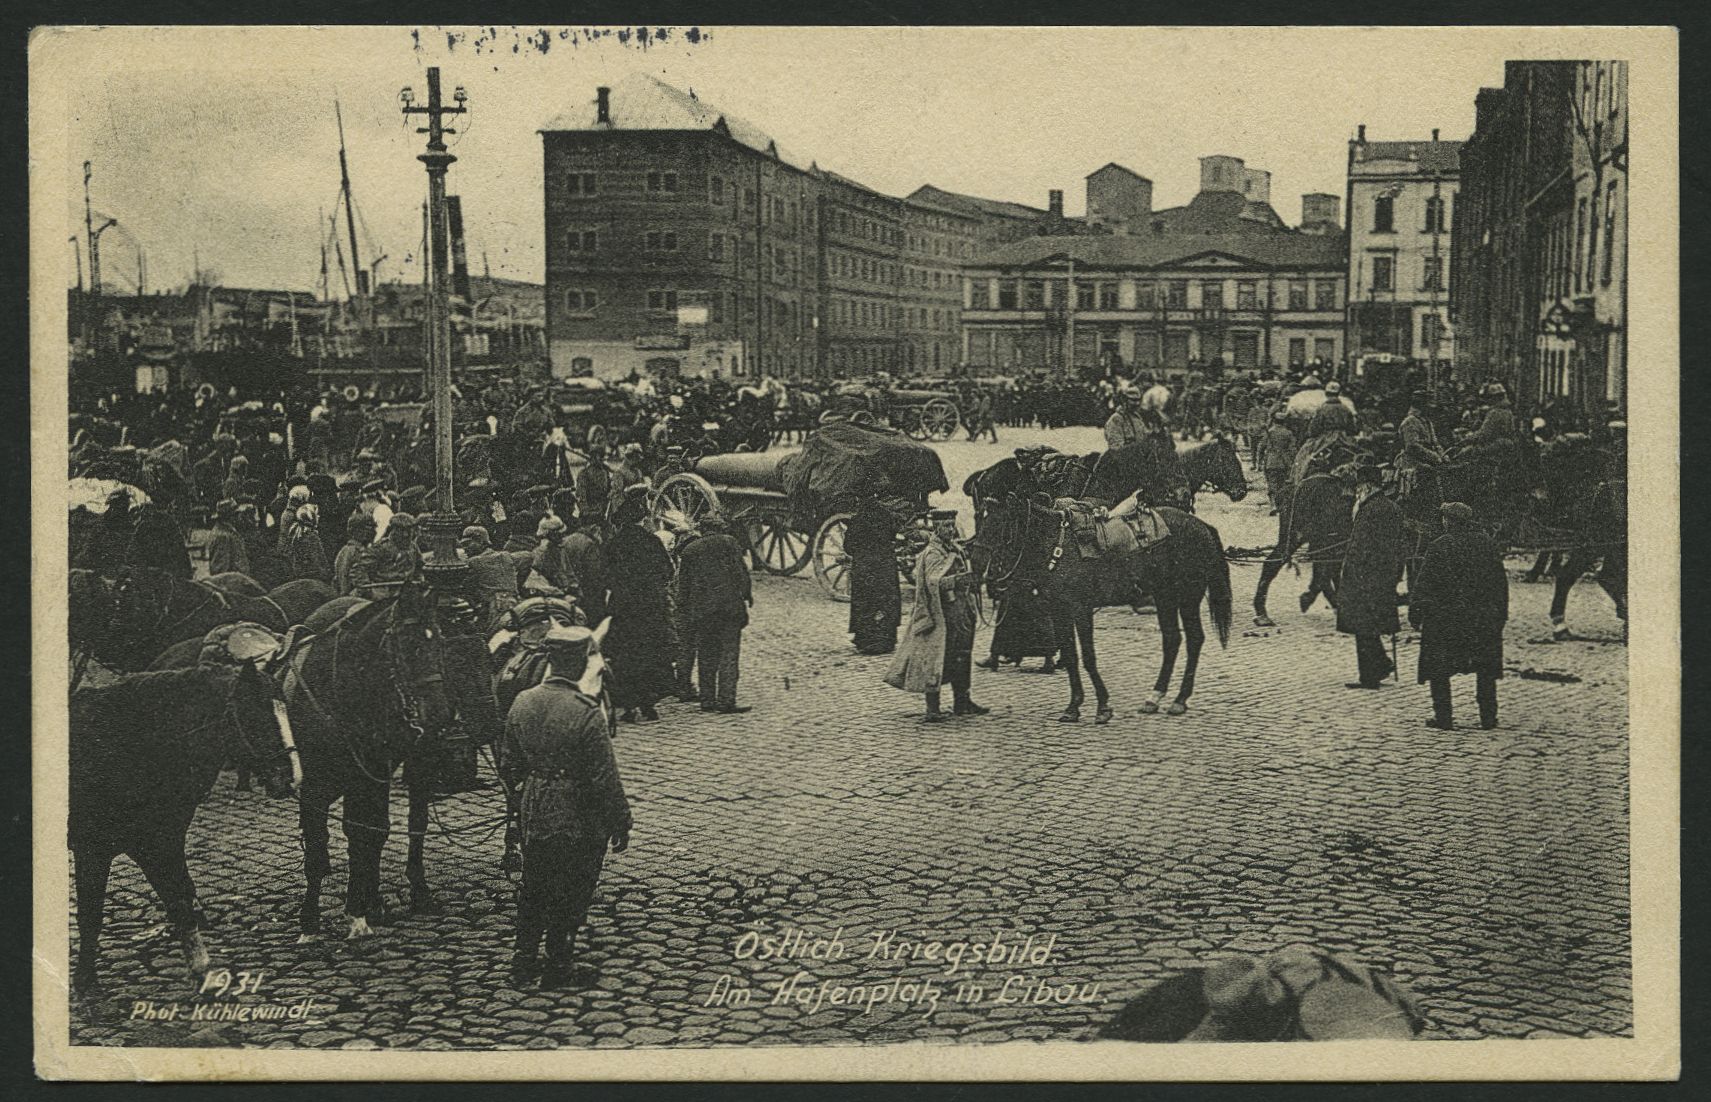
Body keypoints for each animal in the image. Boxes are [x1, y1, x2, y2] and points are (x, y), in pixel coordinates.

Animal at [71, 658, 300, 999]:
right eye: (255, 715)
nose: (291, 778)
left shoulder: (161, 843)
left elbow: (180, 900)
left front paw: (202, 970)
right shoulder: (92, 850)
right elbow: (90, 915)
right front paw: (85, 980)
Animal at [282, 580, 501, 941]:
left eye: (487, 656)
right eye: (410, 647)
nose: (442, 716)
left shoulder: (383, 771)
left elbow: (385, 830)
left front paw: (373, 906)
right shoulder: (316, 786)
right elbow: (319, 848)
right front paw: (311, 921)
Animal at [970, 494, 1232, 721]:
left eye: (999, 524)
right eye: (980, 521)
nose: (977, 564)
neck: (1058, 545)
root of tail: (1202, 526)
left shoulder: (1081, 610)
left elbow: (1088, 657)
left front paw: (1103, 707)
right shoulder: (1060, 611)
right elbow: (1071, 656)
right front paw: (1073, 706)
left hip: (1187, 598)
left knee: (1194, 639)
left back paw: (1179, 699)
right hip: (1165, 597)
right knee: (1172, 640)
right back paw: (1154, 698)